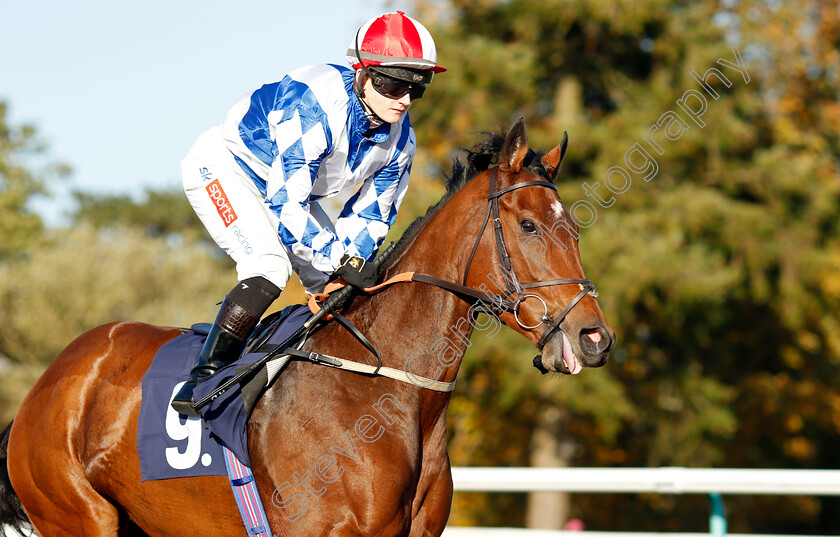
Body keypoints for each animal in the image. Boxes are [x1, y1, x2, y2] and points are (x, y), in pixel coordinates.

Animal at [1, 121, 616, 536]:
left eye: (573, 228)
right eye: (529, 226)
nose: (595, 338)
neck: (383, 390)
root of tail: (48, 382)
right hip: (76, 514)